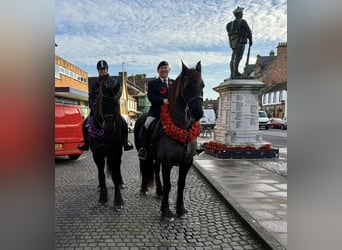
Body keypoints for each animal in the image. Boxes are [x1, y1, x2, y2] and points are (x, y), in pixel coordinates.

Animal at [88, 78, 125, 211]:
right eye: (103, 101)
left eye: (116, 103)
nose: (109, 129)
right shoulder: (97, 154)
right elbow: (101, 175)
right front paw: (103, 197)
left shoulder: (114, 152)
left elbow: (114, 175)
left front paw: (118, 201)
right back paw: (100, 186)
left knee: (118, 167)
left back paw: (121, 182)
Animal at [134, 61, 203, 222]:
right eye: (187, 86)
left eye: (202, 85)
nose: (198, 113)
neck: (182, 130)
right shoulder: (167, 162)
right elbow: (169, 185)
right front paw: (166, 211)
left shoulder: (187, 162)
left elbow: (181, 184)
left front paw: (181, 209)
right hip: (143, 154)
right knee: (144, 167)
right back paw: (144, 189)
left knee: (154, 169)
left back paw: (158, 191)